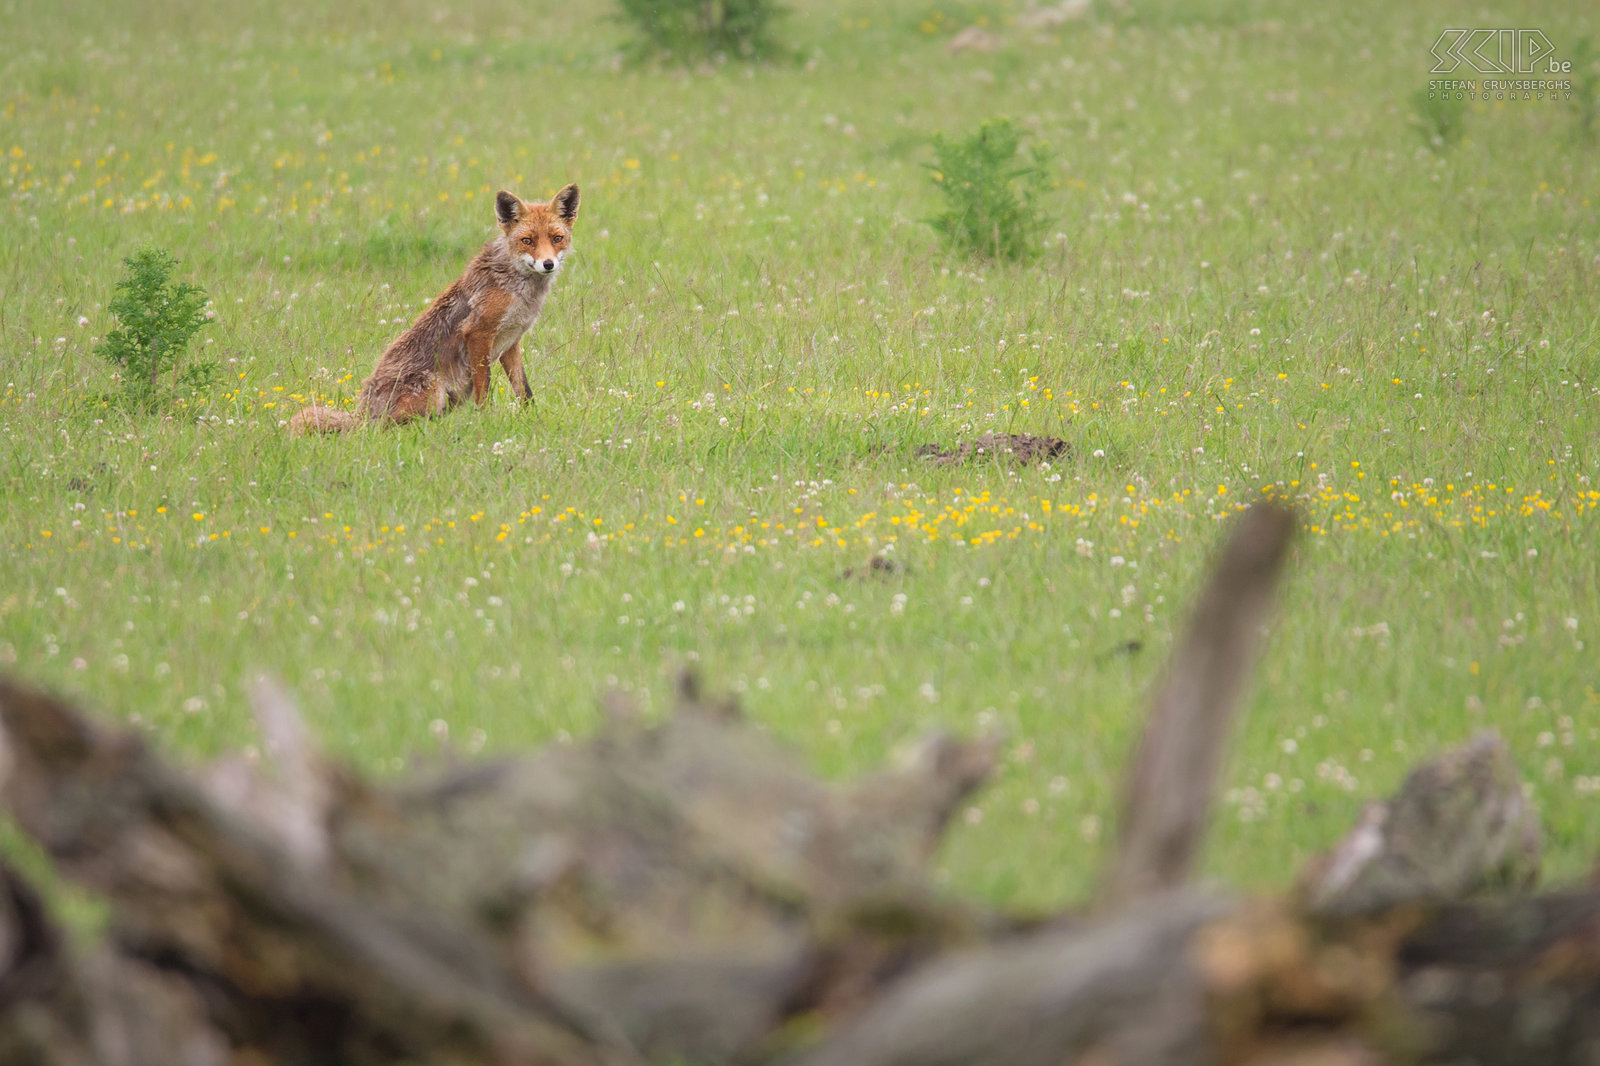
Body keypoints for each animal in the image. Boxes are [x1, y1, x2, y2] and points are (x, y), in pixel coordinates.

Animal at [291, 184, 579, 435]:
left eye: (557, 238)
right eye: (527, 241)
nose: (548, 264)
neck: (518, 287)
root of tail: (363, 412)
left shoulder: (511, 341)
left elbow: (524, 391)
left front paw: (533, 419)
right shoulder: (477, 333)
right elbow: (484, 388)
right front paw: (486, 421)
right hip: (432, 392)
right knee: (387, 428)